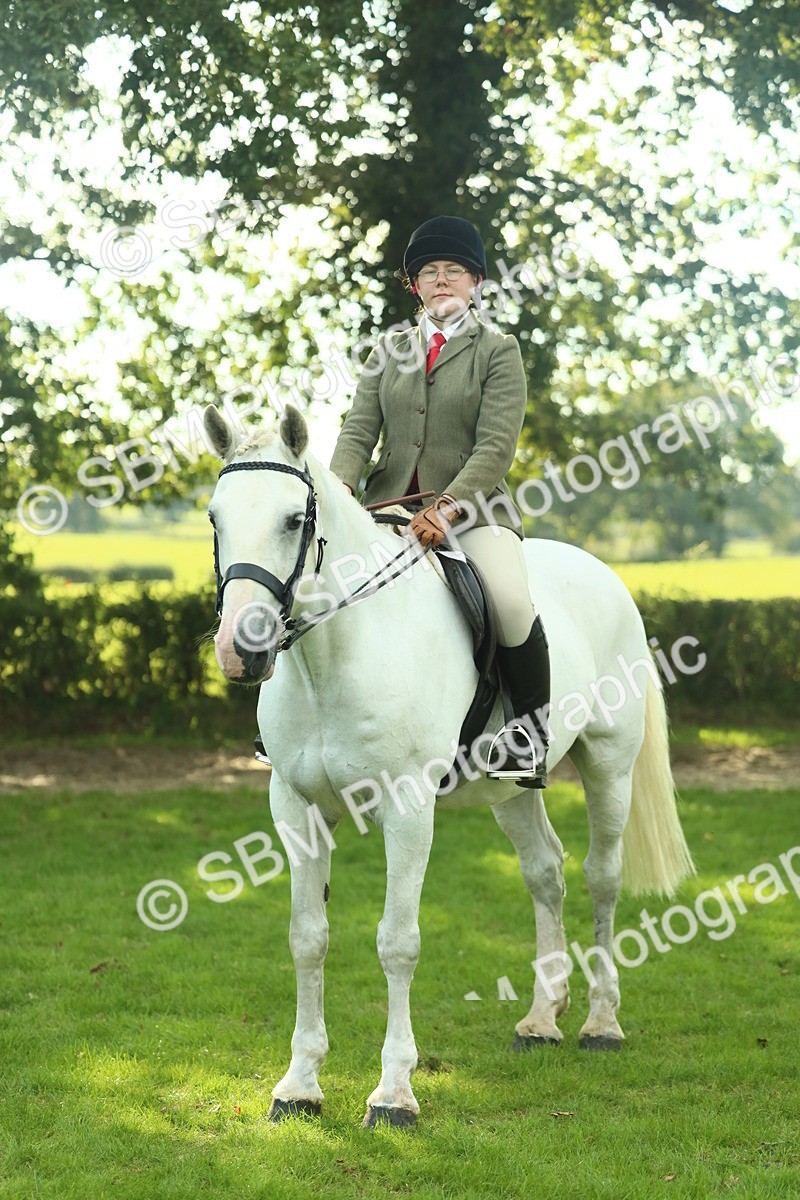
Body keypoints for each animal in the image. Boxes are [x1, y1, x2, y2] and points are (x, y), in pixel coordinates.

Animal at [202, 402, 695, 1129]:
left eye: (294, 519)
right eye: (215, 517)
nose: (242, 651)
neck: (334, 658)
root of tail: (602, 573)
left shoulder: (407, 807)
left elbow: (397, 942)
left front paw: (393, 1094)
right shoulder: (295, 807)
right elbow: (307, 937)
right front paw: (299, 1085)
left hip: (610, 764)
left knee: (601, 877)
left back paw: (601, 1023)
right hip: (510, 790)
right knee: (546, 873)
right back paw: (540, 1020)